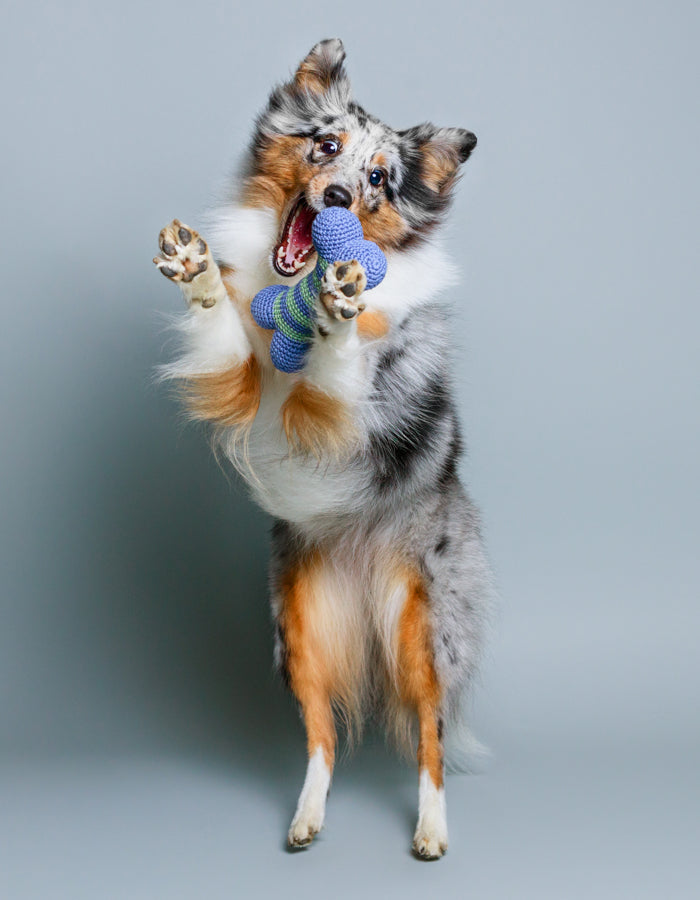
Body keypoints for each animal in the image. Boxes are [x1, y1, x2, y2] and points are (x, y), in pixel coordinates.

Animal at [153, 40, 492, 856]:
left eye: (378, 179)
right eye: (326, 145)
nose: (336, 197)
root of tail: (365, 589)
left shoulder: (353, 415)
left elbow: (343, 366)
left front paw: (340, 311)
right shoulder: (242, 383)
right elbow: (222, 331)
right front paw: (197, 271)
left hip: (427, 634)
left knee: (430, 734)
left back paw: (431, 830)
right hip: (298, 636)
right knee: (322, 737)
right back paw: (306, 817)